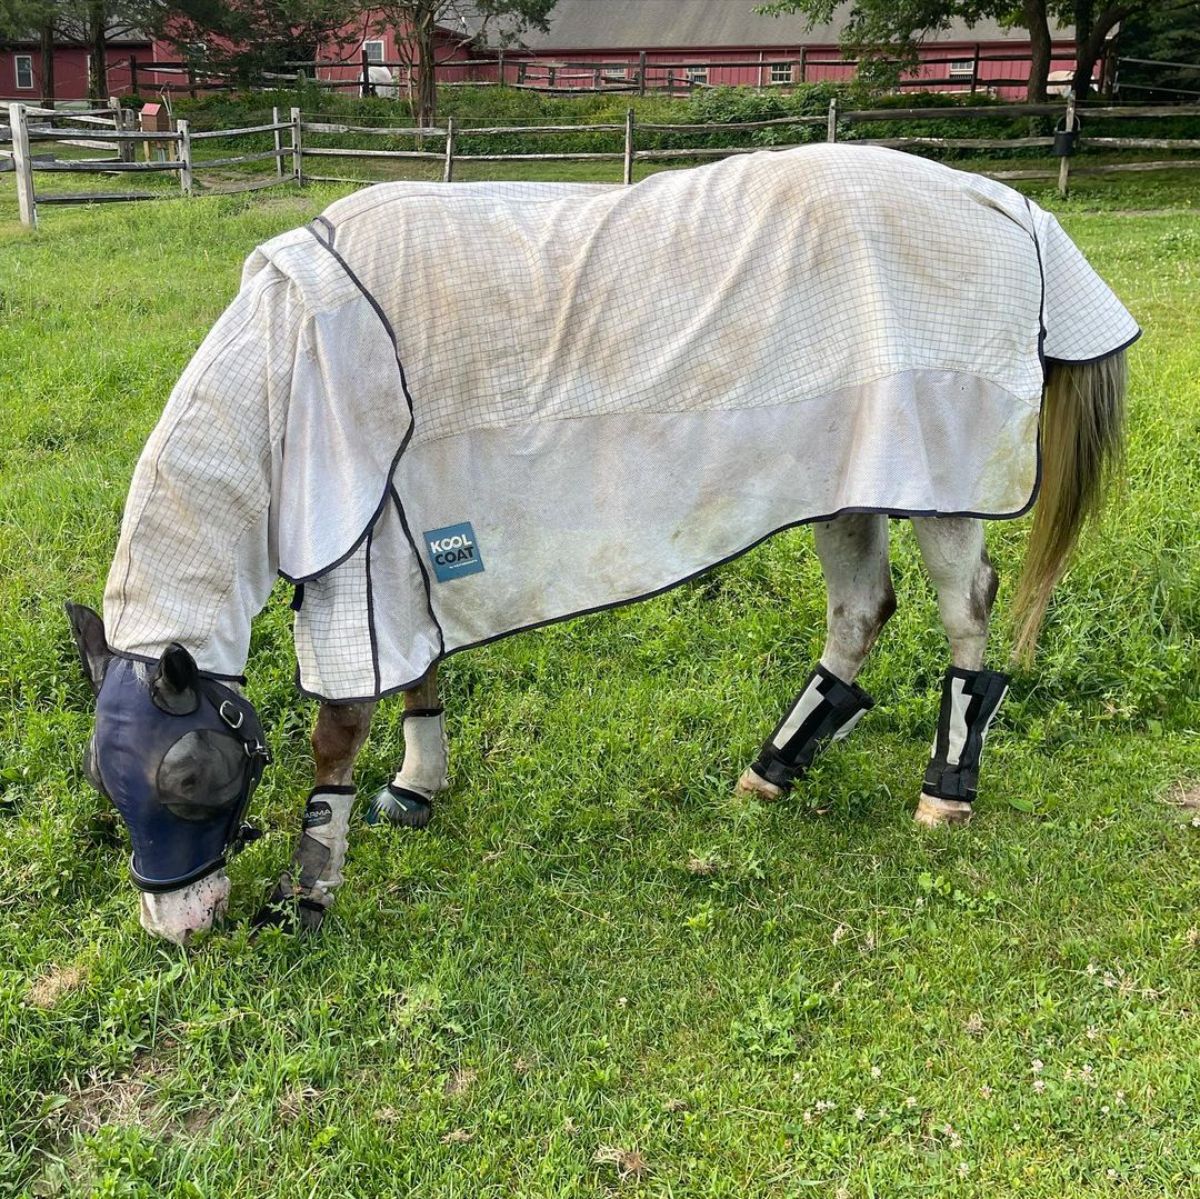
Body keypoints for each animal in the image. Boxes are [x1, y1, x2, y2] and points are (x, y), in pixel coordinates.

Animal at [63, 142, 1132, 945]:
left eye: (189, 778)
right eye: (107, 783)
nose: (180, 926)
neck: (291, 362)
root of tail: (1004, 204)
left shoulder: (358, 555)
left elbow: (339, 730)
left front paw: (307, 892)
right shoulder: (400, 543)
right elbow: (420, 678)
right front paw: (416, 790)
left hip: (940, 471)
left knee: (967, 607)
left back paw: (945, 793)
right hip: (852, 469)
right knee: (862, 608)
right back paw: (771, 770)